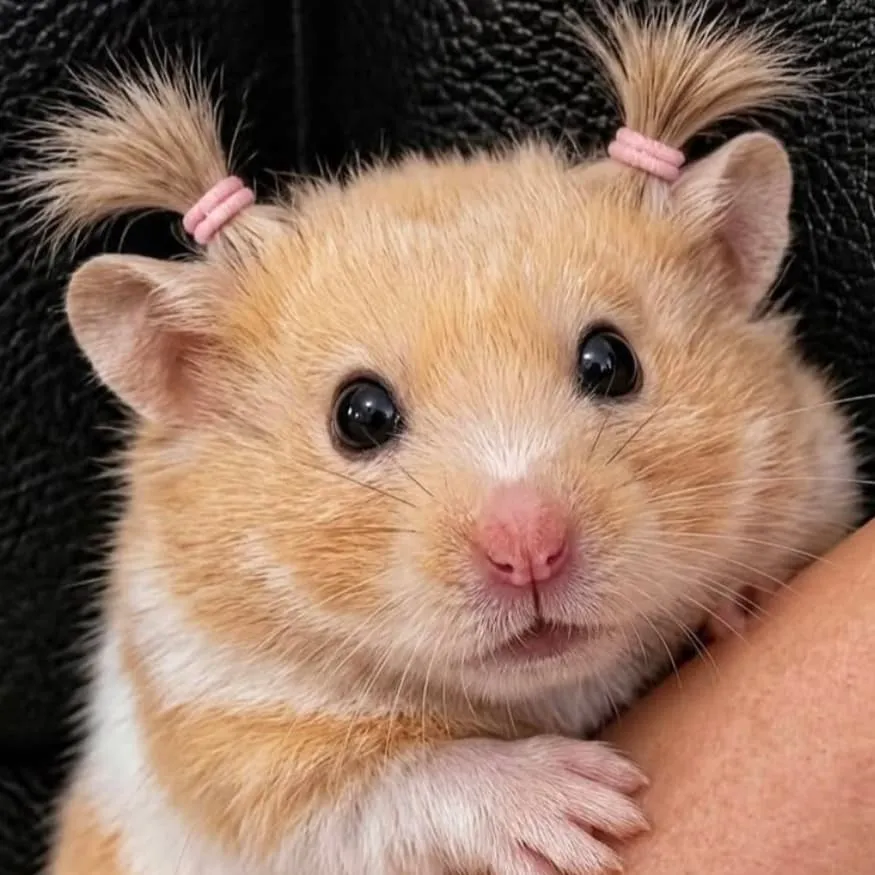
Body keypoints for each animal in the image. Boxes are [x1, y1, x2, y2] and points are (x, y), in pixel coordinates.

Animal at [25, 4, 861, 875]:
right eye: (358, 415)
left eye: (610, 361)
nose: (529, 550)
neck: (542, 688)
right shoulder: (230, 734)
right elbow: (395, 787)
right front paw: (579, 807)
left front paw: (735, 603)